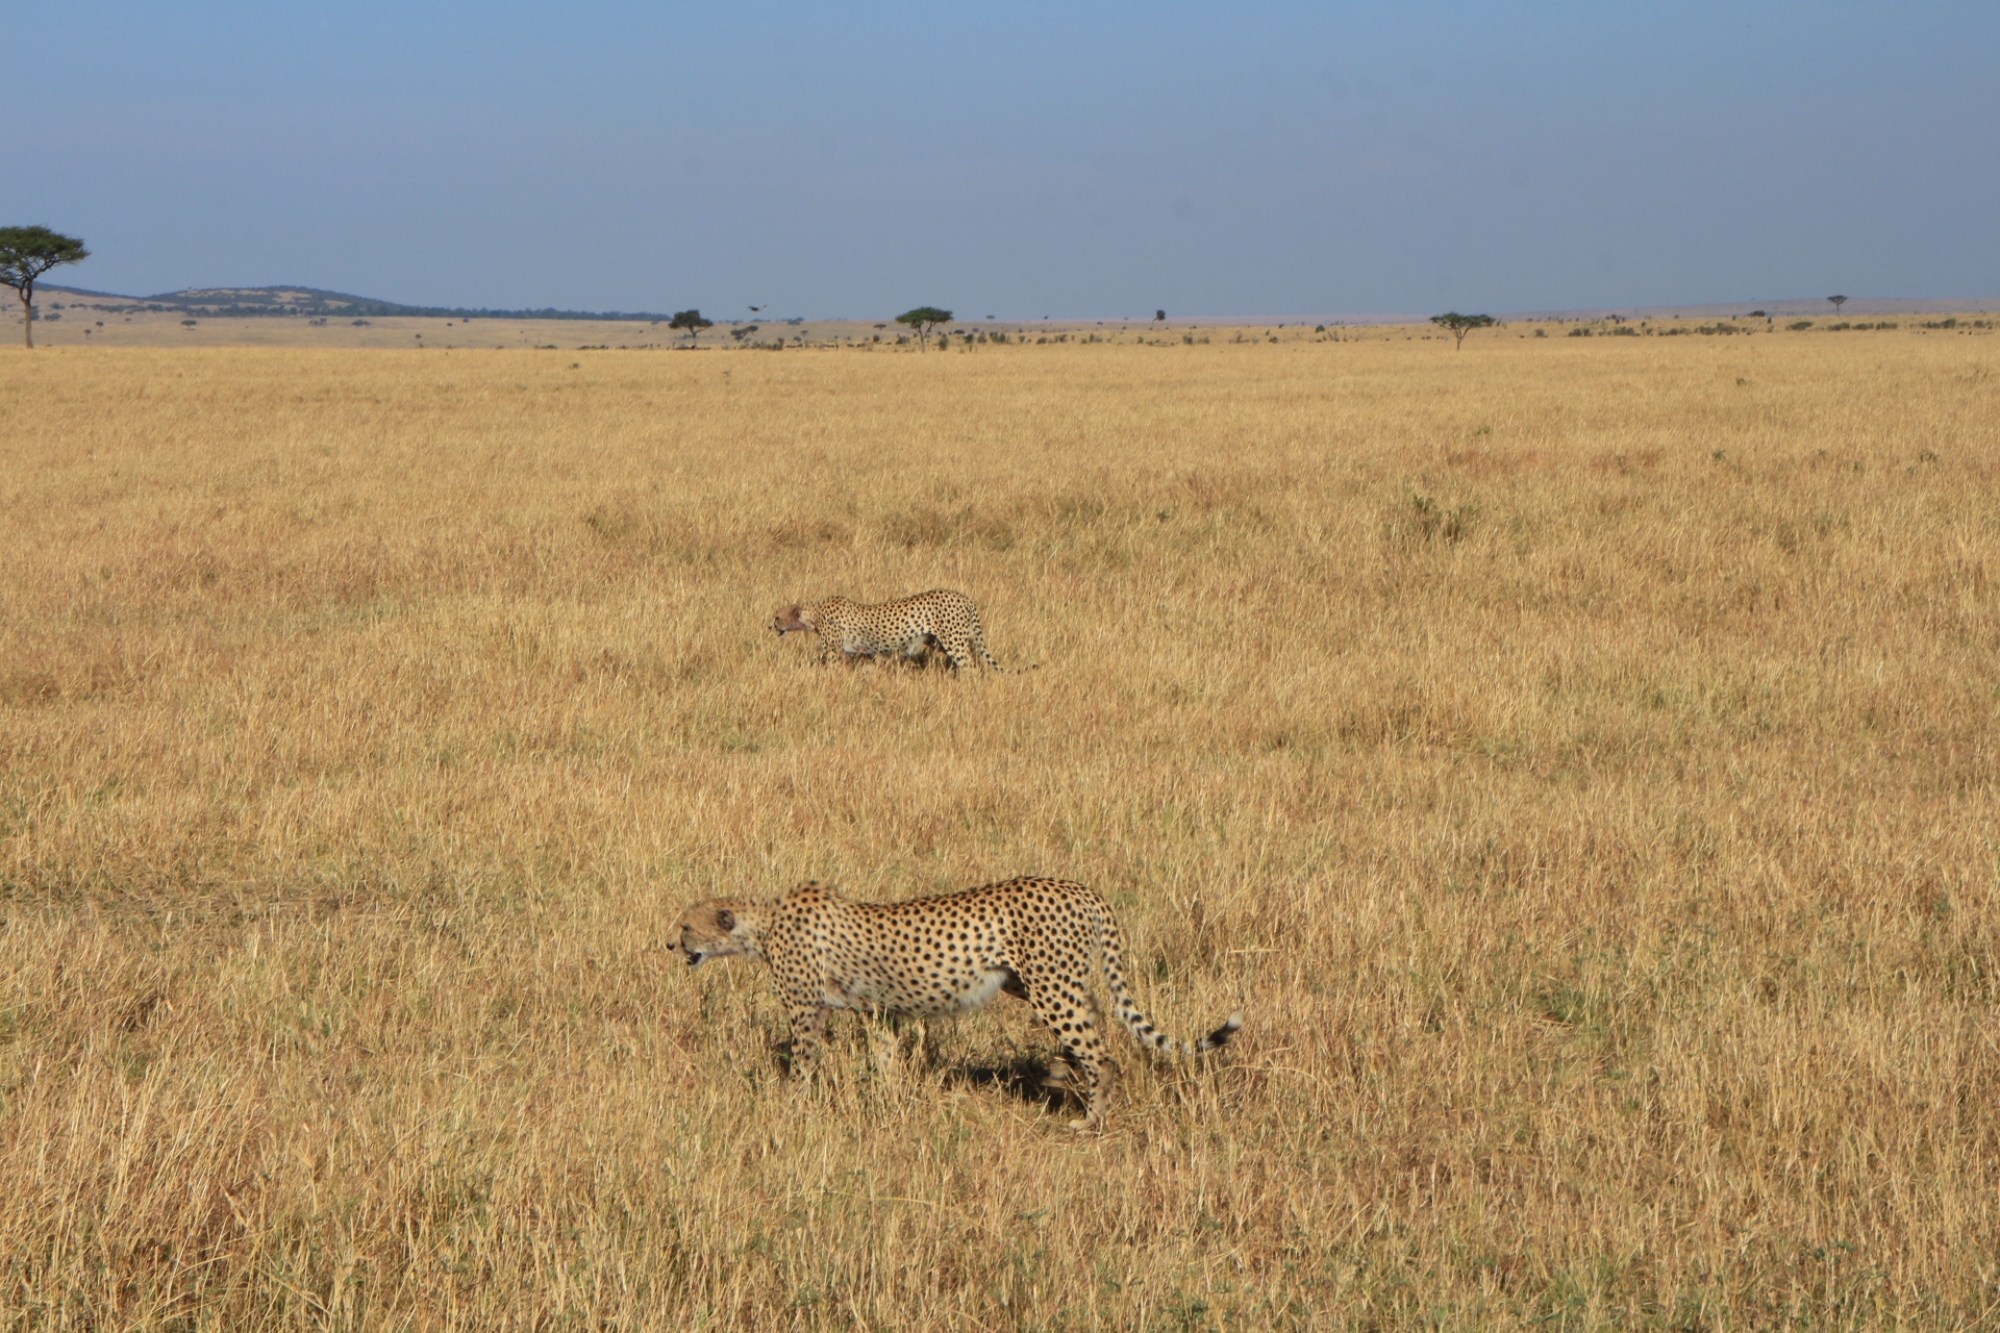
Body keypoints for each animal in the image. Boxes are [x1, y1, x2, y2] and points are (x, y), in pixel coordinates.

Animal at [676, 876, 1232, 1128]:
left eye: (684, 927)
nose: (669, 945)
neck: (761, 925)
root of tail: (1080, 888)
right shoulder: (881, 1011)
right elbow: (884, 1057)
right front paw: (889, 1101)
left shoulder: (807, 1010)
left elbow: (805, 1060)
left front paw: (793, 1105)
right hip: (1037, 981)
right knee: (1092, 1019)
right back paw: (1058, 1073)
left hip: (1049, 984)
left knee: (1103, 1051)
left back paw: (1090, 1119)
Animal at [772, 588, 1040, 668]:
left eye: (776, 617)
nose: (769, 625)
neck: (814, 614)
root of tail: (963, 596)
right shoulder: (864, 652)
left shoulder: (835, 652)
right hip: (947, 641)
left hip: (954, 642)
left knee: (970, 667)